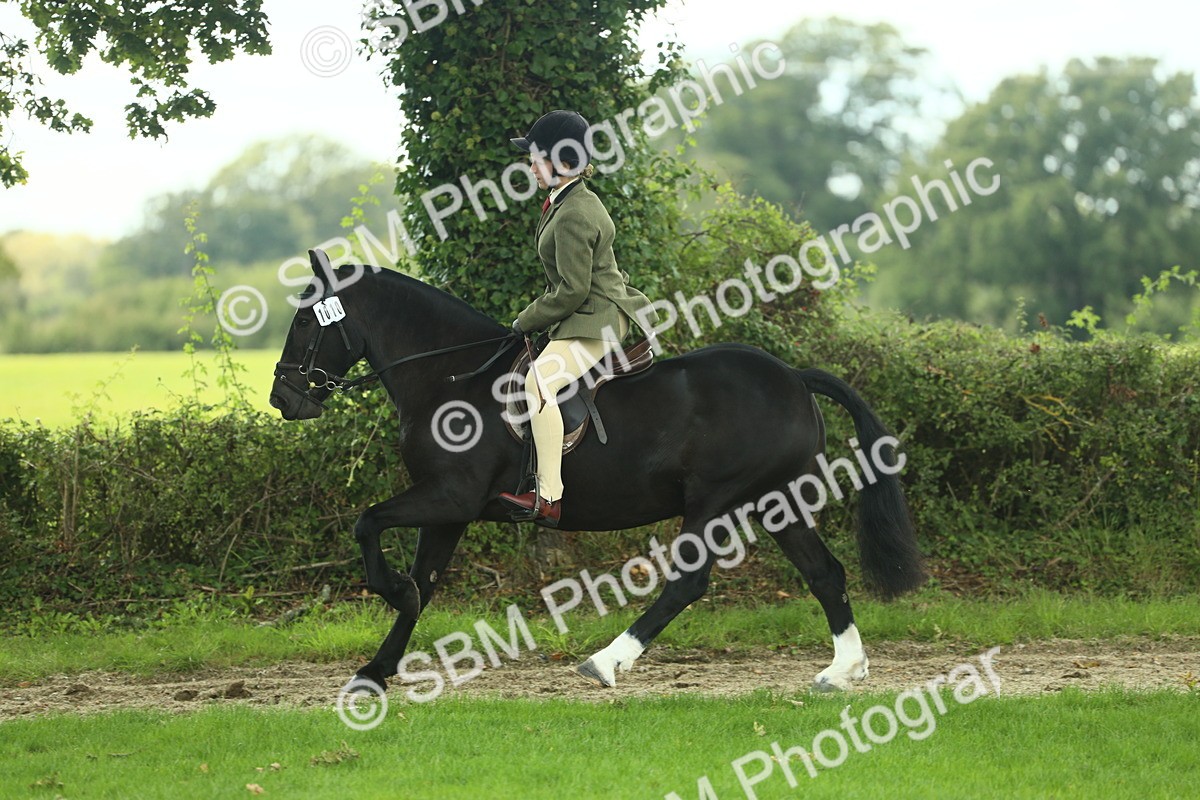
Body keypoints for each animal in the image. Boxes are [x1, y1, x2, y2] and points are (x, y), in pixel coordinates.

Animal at [269, 250, 927, 696]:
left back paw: (606, 662)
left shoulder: (449, 497)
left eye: (304, 322)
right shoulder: (448, 511)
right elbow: (423, 584)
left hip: (716, 501)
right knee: (825, 574)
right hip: (774, 501)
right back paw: (842, 671)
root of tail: (792, 376)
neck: (450, 376)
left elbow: (368, 524)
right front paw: (375, 671)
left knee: (688, 584)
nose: (283, 399)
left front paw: (389, 597)